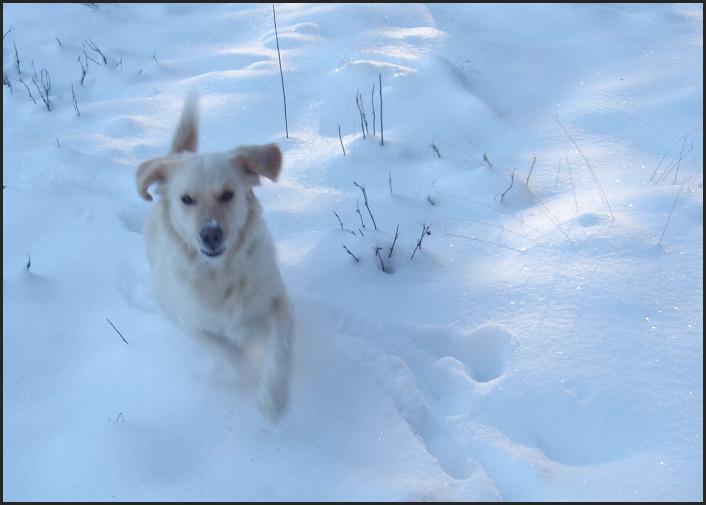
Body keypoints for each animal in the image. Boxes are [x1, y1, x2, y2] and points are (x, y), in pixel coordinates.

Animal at [135, 96, 292, 420]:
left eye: (228, 194)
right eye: (186, 199)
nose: (210, 235)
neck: (220, 272)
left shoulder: (278, 302)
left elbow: (279, 350)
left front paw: (272, 397)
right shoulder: (190, 322)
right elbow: (226, 355)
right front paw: (245, 373)